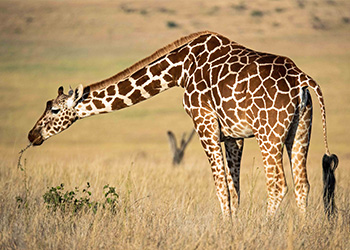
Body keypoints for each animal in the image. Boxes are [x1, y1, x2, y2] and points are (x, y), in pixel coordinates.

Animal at [28, 30, 338, 219]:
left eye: (54, 109)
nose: (32, 135)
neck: (179, 69)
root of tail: (303, 79)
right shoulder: (233, 135)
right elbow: (234, 187)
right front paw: (234, 228)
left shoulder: (204, 123)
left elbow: (220, 186)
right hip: (300, 129)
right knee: (303, 184)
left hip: (269, 132)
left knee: (277, 184)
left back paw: (267, 228)